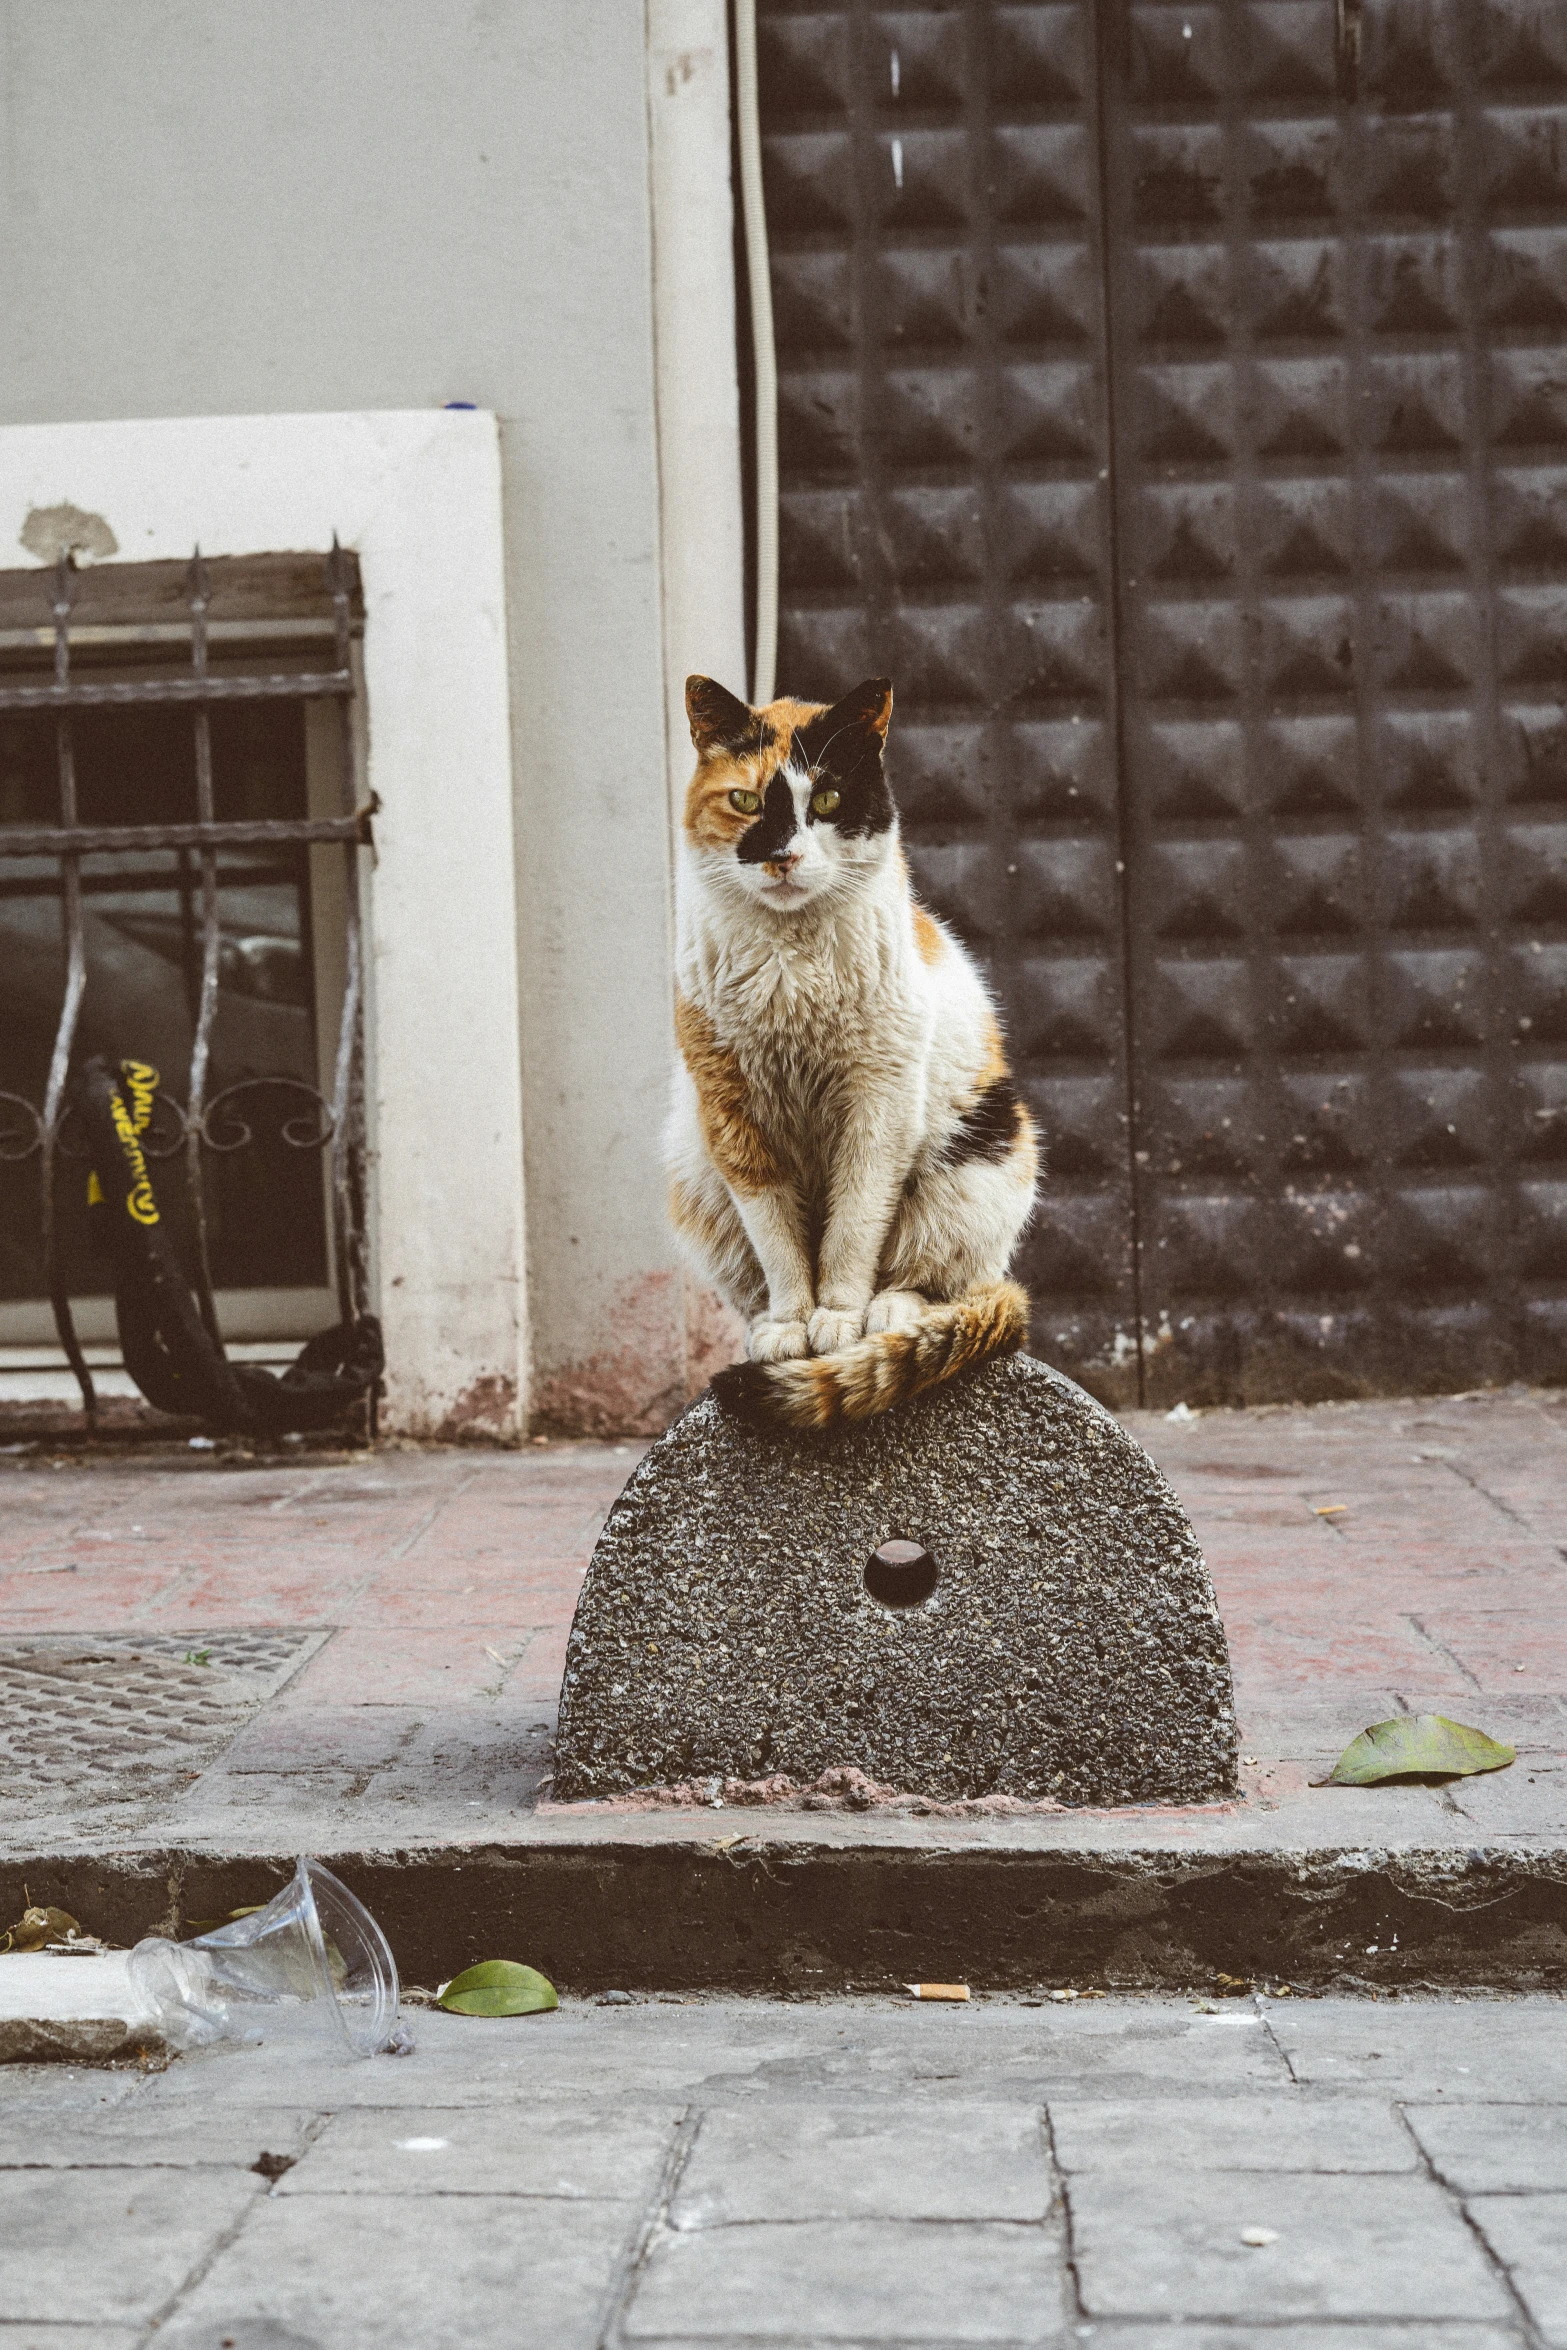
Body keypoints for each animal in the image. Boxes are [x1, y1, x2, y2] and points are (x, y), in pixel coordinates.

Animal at [667, 672, 1043, 1419]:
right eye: (744, 801)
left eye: (829, 800)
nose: (781, 856)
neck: (789, 967)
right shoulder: (731, 1114)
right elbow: (777, 1237)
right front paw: (790, 1323)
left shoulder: (878, 1105)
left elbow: (854, 1222)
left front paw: (837, 1315)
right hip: (693, 1173)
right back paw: (765, 1323)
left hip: (976, 1159)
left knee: (936, 1282)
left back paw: (888, 1314)